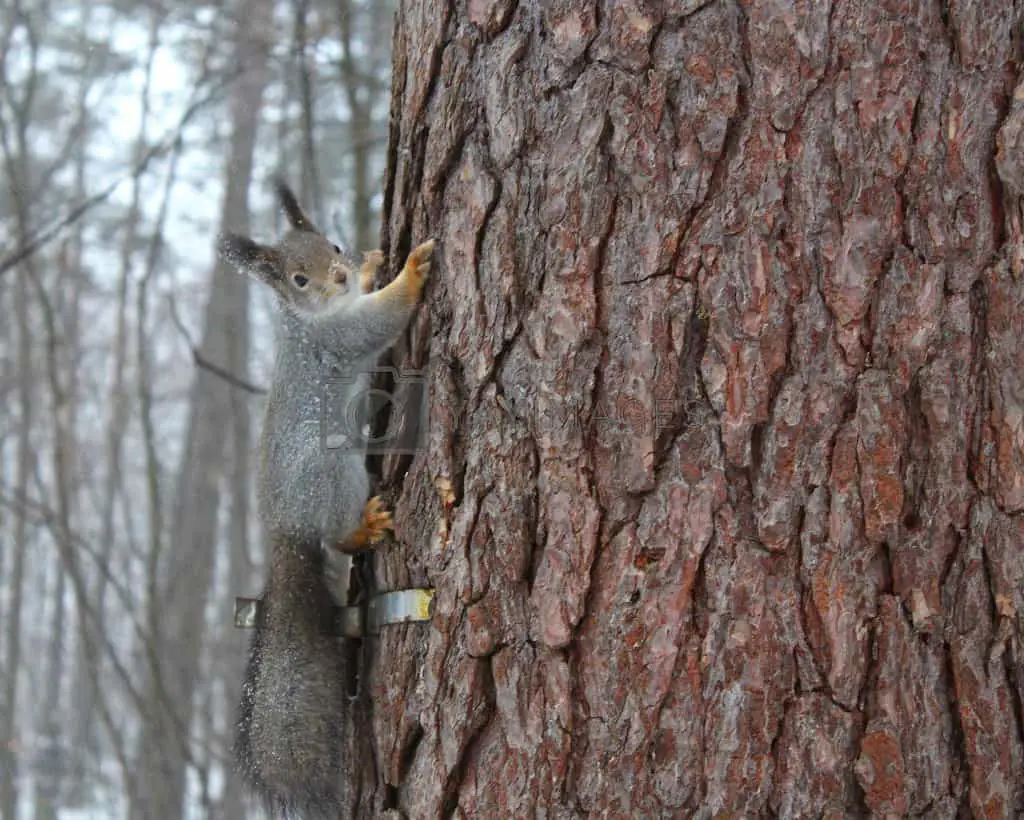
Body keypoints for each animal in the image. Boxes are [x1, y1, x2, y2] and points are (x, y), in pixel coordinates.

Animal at [219, 181, 432, 818]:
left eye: (333, 245)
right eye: (298, 280)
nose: (339, 273)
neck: (310, 318)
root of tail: (284, 528)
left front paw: (371, 266)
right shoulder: (335, 339)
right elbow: (377, 320)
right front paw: (408, 274)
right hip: (332, 473)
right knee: (336, 533)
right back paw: (363, 527)